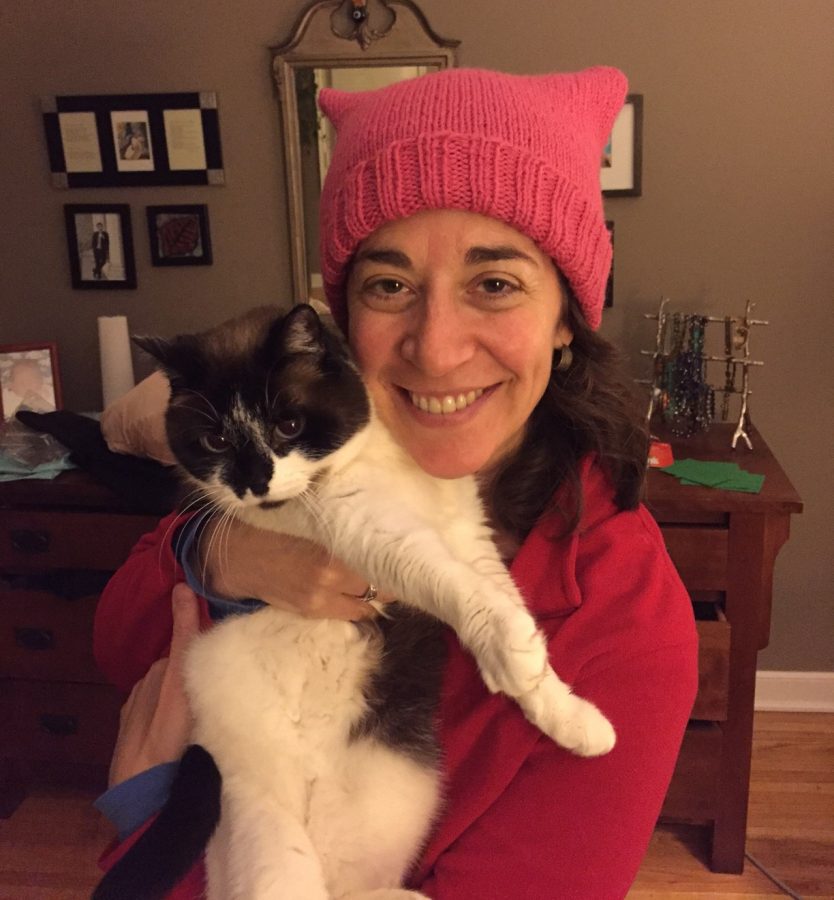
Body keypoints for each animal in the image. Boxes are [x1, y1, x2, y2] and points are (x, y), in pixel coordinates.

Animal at [94, 304, 616, 900]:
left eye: (288, 426)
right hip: (265, 833)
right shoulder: (380, 538)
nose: (255, 483)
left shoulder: (467, 535)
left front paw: (566, 712)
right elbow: (461, 589)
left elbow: (501, 599)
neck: (376, 458)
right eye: (216, 442)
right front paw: (516, 654)